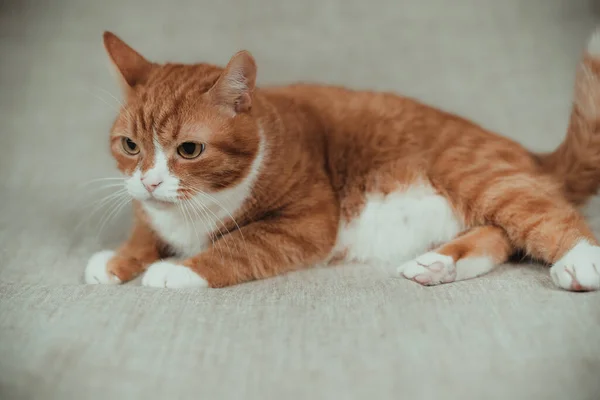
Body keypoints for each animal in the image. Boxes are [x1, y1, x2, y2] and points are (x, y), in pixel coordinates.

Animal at [85, 30, 600, 290]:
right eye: (130, 146)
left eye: (188, 150)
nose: (150, 182)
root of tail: (526, 151)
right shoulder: (149, 211)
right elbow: (144, 231)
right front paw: (117, 261)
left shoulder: (306, 222)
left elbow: (238, 246)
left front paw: (176, 269)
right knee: (500, 236)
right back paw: (437, 264)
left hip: (476, 174)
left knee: (543, 216)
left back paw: (580, 262)